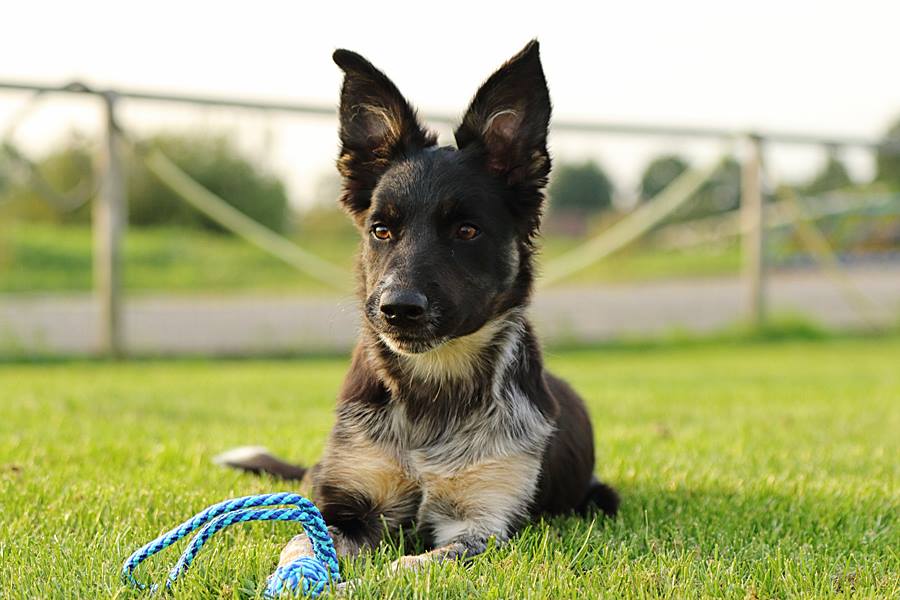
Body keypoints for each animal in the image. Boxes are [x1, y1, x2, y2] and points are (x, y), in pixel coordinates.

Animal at [218, 40, 619, 574]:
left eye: (467, 230)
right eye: (381, 229)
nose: (398, 309)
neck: (434, 389)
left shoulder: (483, 522)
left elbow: (410, 567)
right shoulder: (345, 505)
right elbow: (302, 545)